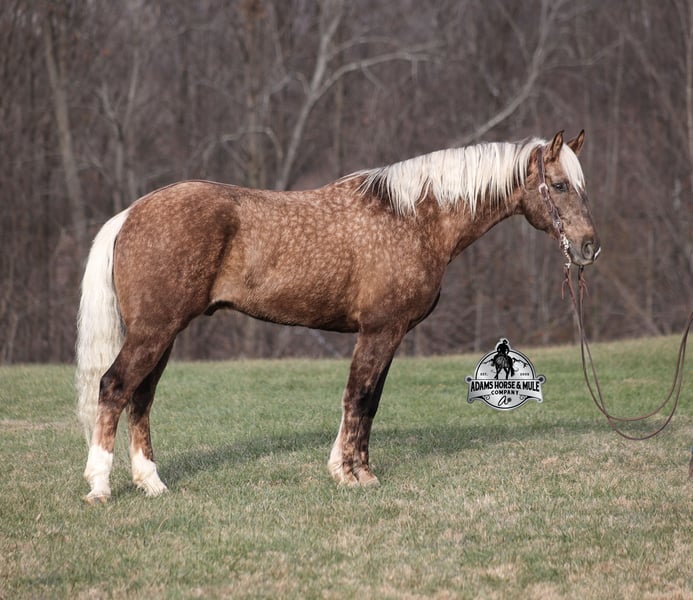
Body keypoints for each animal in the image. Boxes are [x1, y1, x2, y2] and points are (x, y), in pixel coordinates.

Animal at [76, 130, 599, 503]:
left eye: (582, 186)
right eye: (558, 186)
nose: (589, 247)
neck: (413, 217)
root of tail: (130, 214)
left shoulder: (388, 334)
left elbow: (370, 402)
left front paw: (360, 471)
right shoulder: (380, 331)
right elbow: (359, 398)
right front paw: (348, 476)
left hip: (163, 335)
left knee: (141, 398)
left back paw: (152, 483)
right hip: (154, 331)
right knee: (115, 387)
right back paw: (100, 487)